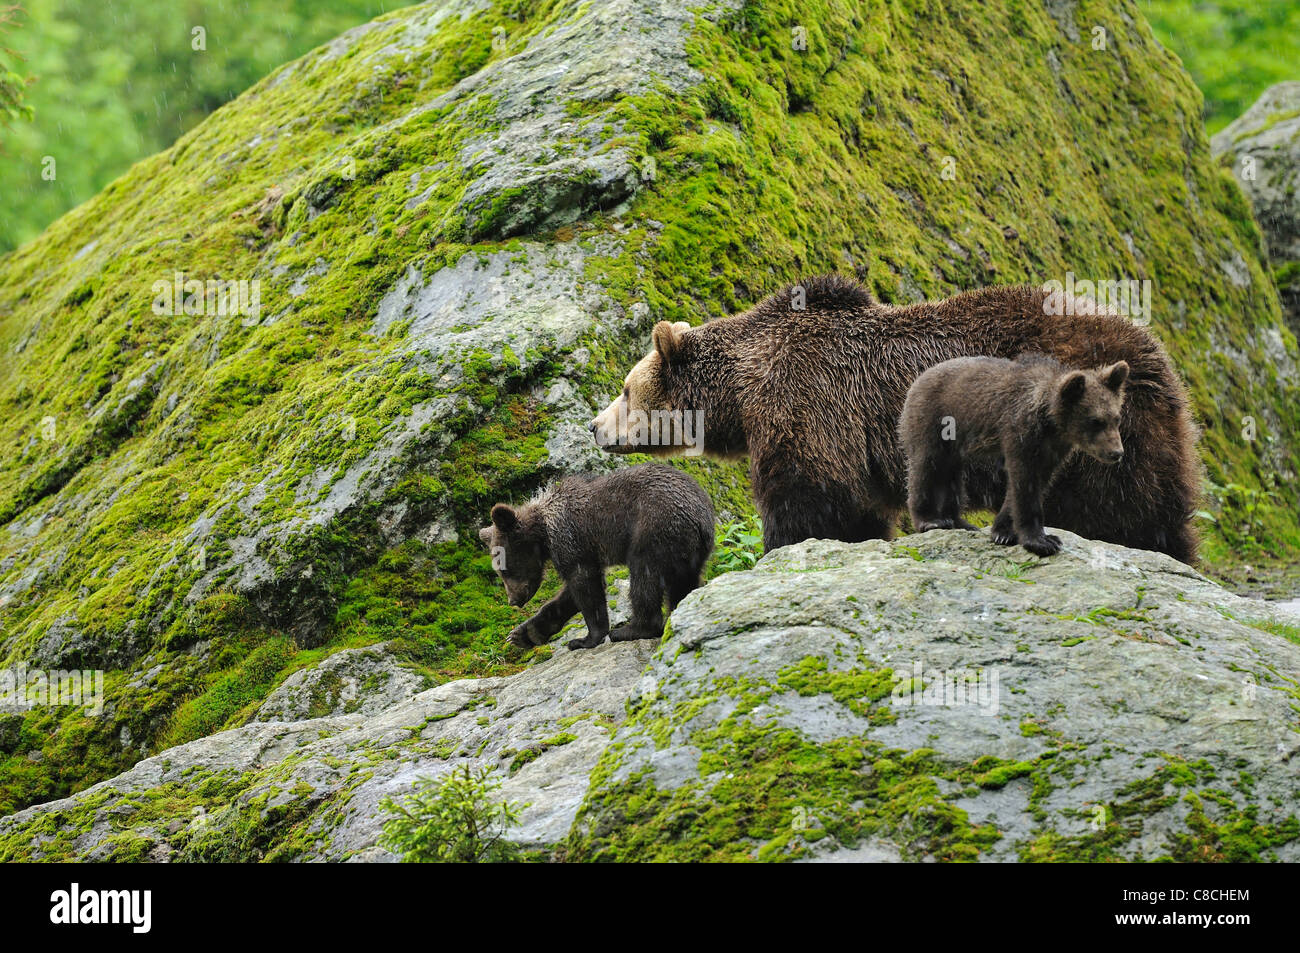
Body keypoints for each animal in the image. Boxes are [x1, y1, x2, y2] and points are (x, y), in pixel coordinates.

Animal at [479, 463, 714, 650]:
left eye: (504, 570)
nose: (513, 600)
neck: (543, 532)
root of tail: (701, 517)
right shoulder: (582, 551)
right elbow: (571, 594)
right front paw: (523, 634)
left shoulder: (570, 539)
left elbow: (585, 586)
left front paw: (584, 639)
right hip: (689, 551)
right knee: (683, 584)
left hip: (653, 529)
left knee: (644, 577)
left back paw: (631, 629)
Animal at [899, 354, 1129, 556]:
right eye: (1095, 421)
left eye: (1116, 418)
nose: (1116, 453)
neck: (1049, 422)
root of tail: (920, 377)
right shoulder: (1020, 434)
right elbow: (1024, 483)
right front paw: (1041, 541)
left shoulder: (1053, 449)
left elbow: (1037, 482)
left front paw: (1004, 532)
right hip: (934, 420)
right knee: (927, 466)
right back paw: (930, 520)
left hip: (955, 443)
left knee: (952, 477)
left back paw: (959, 521)